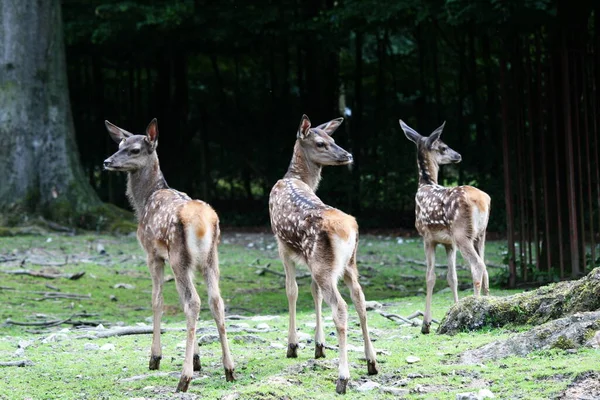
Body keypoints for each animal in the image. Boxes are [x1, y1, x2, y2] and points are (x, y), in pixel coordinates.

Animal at [103, 118, 234, 390]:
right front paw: (197, 359)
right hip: (210, 259)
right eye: (119, 144)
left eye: (134, 150)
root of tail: (203, 223)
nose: (107, 162)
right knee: (215, 301)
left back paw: (184, 379)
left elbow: (157, 300)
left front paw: (155, 358)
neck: (144, 200)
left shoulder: (152, 253)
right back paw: (229, 369)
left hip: (178, 255)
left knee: (193, 302)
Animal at [268, 113, 378, 394]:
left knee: (340, 307)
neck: (295, 178)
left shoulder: (282, 245)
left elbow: (292, 291)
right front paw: (318, 346)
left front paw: (293, 346)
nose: (348, 155)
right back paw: (372, 363)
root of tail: (349, 230)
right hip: (348, 264)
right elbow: (312, 292)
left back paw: (343, 378)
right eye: (321, 142)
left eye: (333, 139)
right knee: (360, 300)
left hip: (324, 264)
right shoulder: (307, 258)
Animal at [398, 119, 492, 334]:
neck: (424, 184)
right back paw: (488, 302)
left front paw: (425, 324)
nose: (458, 155)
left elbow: (430, 276)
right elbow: (452, 277)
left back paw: (475, 305)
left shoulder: (426, 237)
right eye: (443, 147)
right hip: (481, 234)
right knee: (485, 266)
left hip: (463, 233)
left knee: (477, 265)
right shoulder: (449, 243)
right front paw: (453, 310)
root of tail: (483, 201)